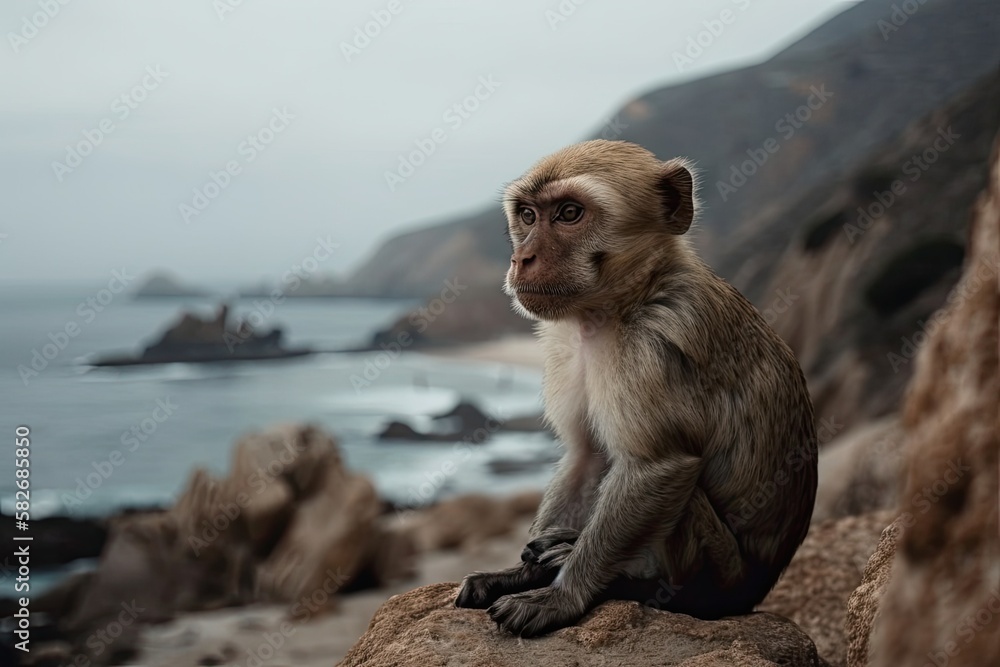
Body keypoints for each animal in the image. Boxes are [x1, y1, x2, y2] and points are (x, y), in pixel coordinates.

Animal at [454, 140, 818, 638]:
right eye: (527, 215)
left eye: (569, 213)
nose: (521, 258)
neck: (628, 298)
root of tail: (753, 592)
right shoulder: (567, 347)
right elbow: (586, 455)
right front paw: (516, 574)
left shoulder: (653, 348)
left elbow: (658, 466)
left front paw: (563, 596)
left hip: (717, 573)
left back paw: (625, 580)